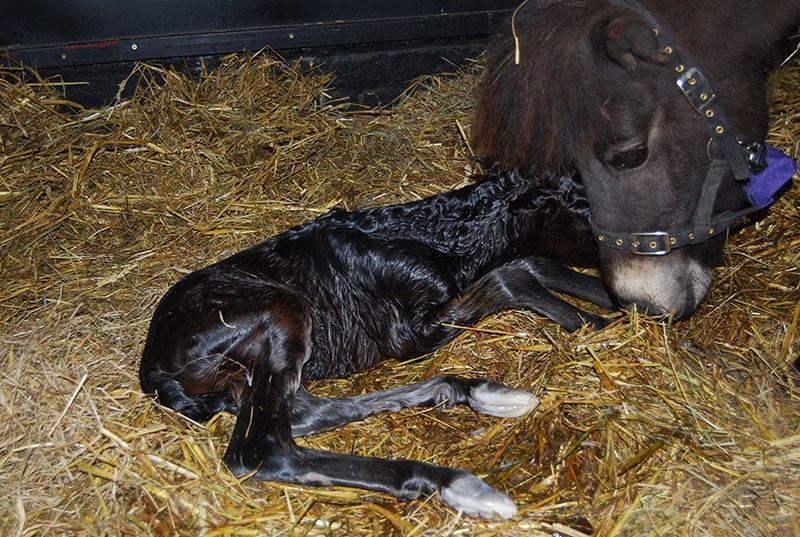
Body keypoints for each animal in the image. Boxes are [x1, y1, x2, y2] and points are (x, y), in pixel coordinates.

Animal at [139, 165, 612, 516]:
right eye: (587, 210)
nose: (622, 264)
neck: (435, 239)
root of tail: (153, 368)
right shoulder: (408, 332)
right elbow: (512, 274)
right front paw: (588, 319)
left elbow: (530, 261)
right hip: (282, 311)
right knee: (263, 449)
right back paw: (457, 482)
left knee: (308, 413)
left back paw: (476, 391)